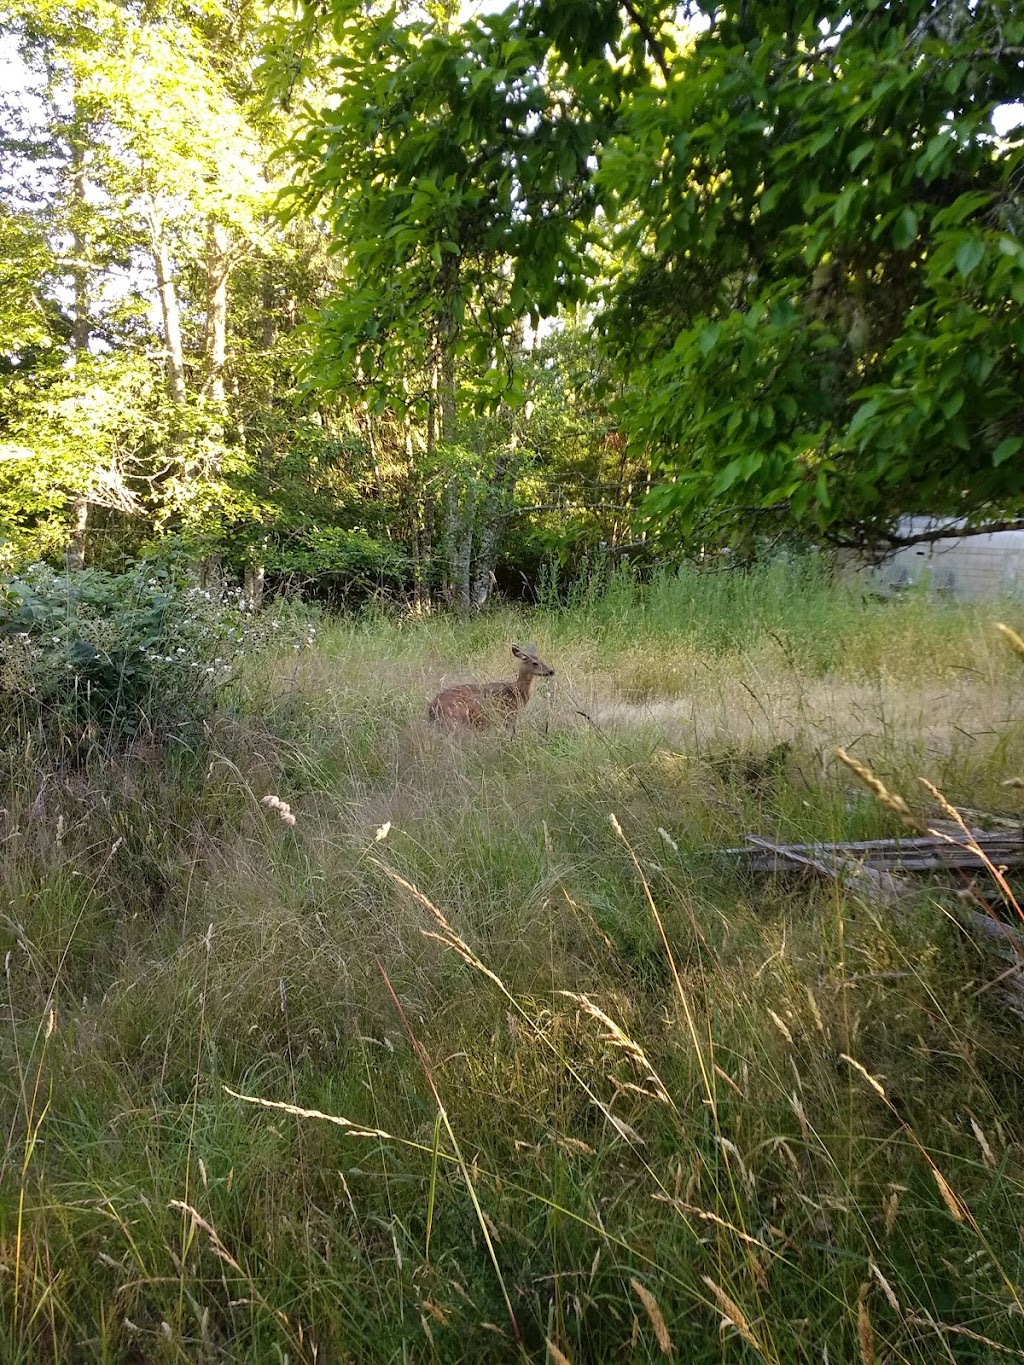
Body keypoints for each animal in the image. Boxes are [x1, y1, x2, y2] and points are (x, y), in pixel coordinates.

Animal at [428, 644, 557, 731]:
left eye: (542, 659)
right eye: (535, 663)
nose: (551, 671)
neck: (516, 692)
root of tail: (432, 707)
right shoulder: (508, 715)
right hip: (455, 719)